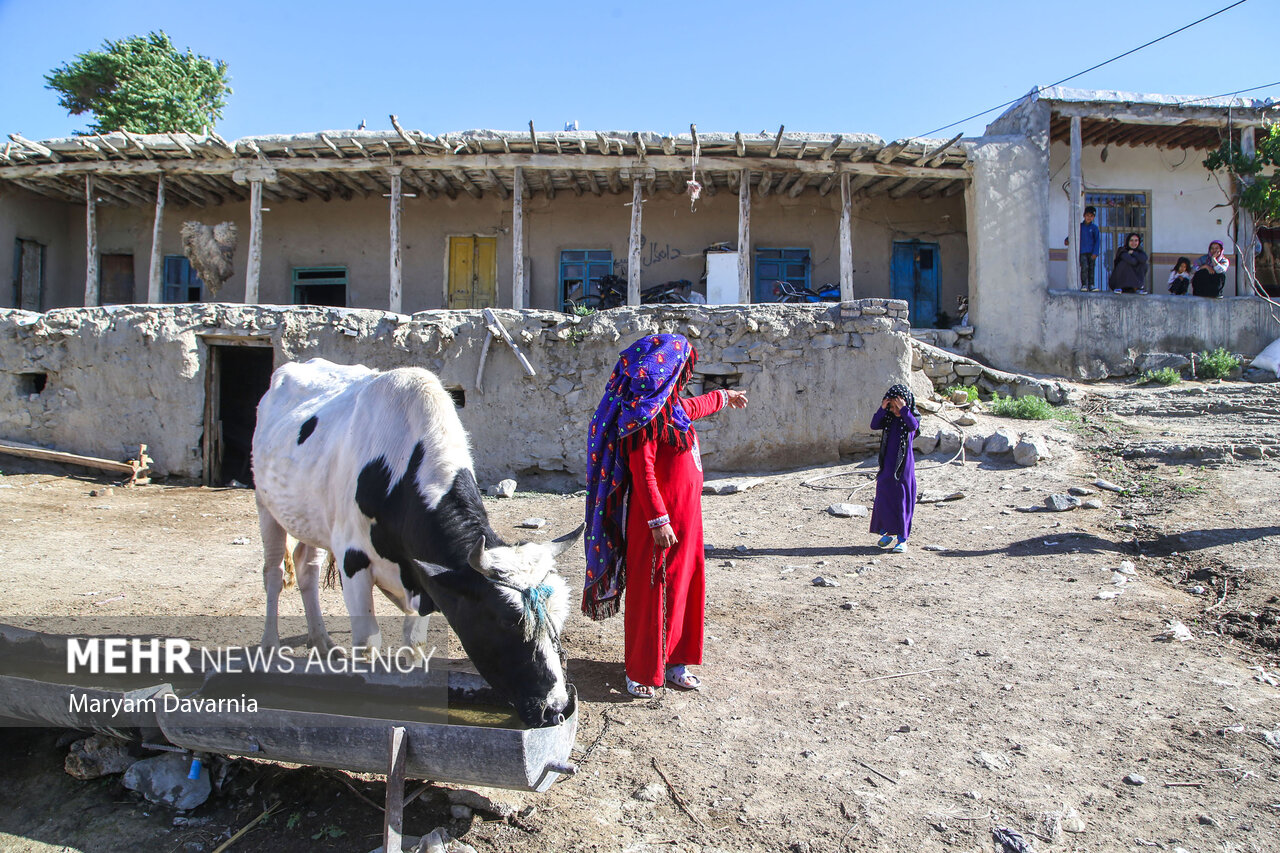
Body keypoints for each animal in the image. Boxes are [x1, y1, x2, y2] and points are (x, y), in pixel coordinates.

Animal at [250, 358, 581, 722]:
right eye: (509, 624)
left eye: (559, 621)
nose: (557, 708)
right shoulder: (353, 559)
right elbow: (368, 643)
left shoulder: (423, 576)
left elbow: (414, 643)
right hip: (265, 504)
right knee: (273, 573)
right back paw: (270, 645)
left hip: (312, 518)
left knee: (306, 568)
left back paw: (322, 643)